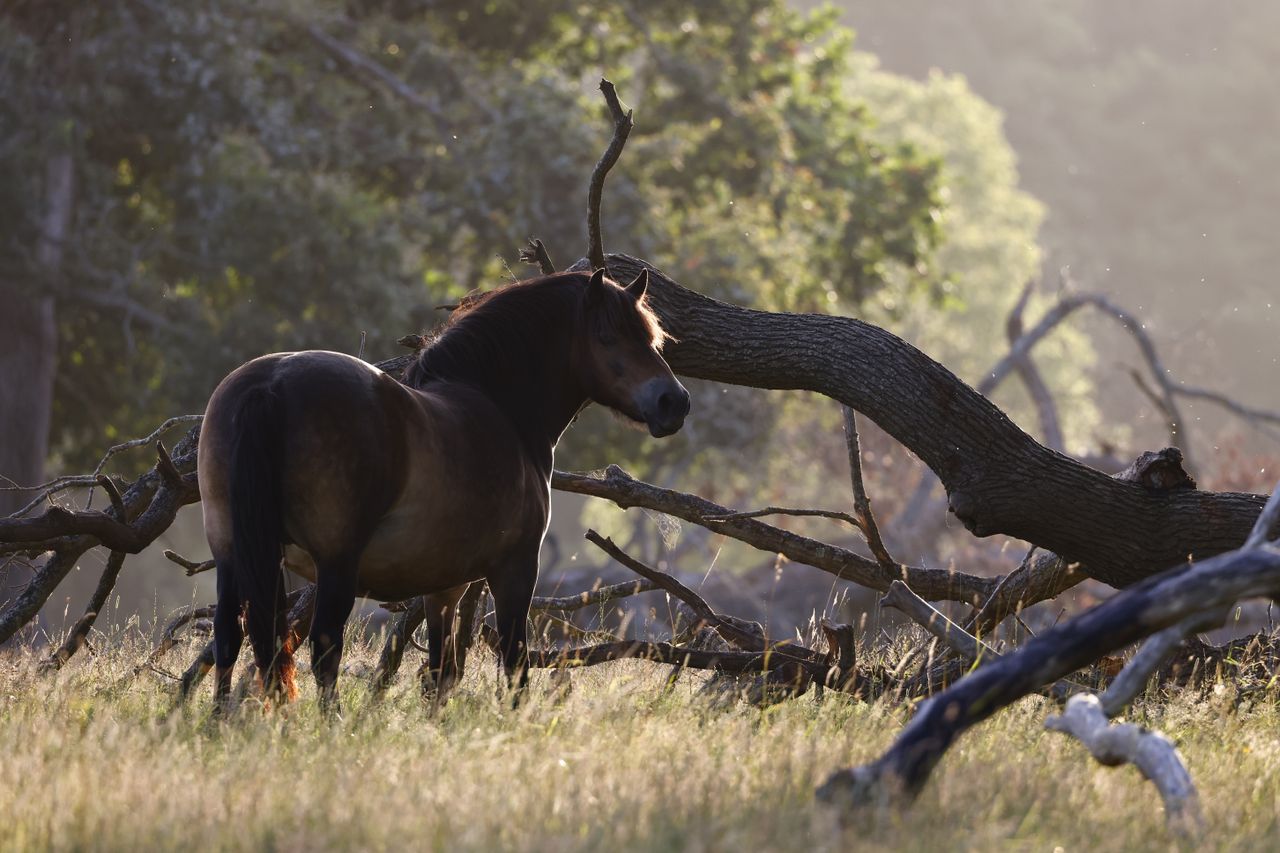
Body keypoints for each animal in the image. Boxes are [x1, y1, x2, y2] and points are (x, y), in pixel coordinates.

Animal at [197, 268, 689, 710]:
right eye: (607, 336)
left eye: (650, 338)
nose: (674, 402)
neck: (500, 409)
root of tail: (272, 385)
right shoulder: (514, 569)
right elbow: (514, 667)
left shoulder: (444, 588)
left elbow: (441, 674)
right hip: (336, 564)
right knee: (323, 651)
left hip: (232, 552)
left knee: (229, 636)